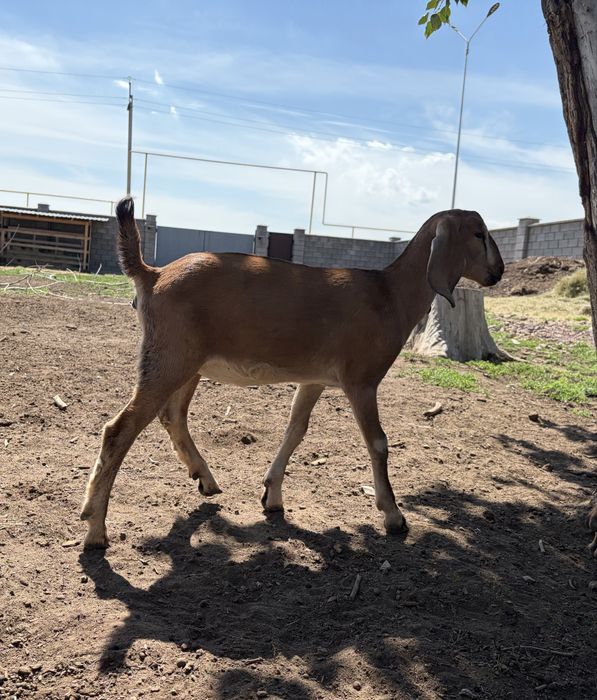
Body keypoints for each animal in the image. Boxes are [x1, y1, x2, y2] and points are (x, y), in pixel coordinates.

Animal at [81, 197, 504, 548]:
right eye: (478, 233)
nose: (498, 272)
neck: (388, 294)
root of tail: (152, 273)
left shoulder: (314, 379)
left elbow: (295, 430)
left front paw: (272, 495)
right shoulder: (361, 380)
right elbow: (378, 443)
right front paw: (394, 516)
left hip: (188, 364)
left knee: (172, 416)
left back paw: (206, 480)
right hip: (171, 358)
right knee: (119, 429)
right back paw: (96, 528)